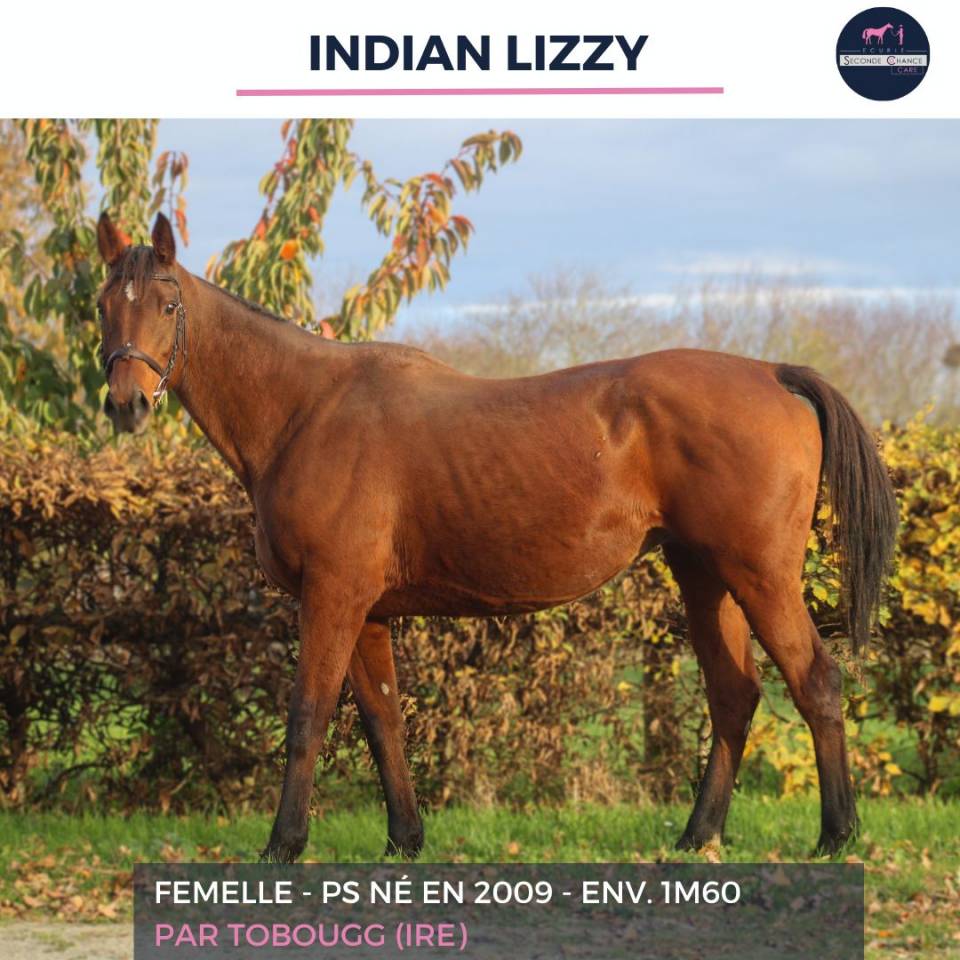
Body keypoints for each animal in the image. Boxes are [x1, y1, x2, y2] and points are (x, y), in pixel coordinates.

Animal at [96, 212, 898, 862]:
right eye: (104, 306)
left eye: (167, 304)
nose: (127, 404)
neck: (306, 409)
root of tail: (771, 373)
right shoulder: (366, 611)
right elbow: (383, 719)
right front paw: (405, 839)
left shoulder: (331, 597)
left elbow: (307, 716)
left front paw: (284, 845)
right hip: (705, 576)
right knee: (734, 695)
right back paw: (698, 834)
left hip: (761, 576)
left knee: (817, 683)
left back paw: (835, 835)